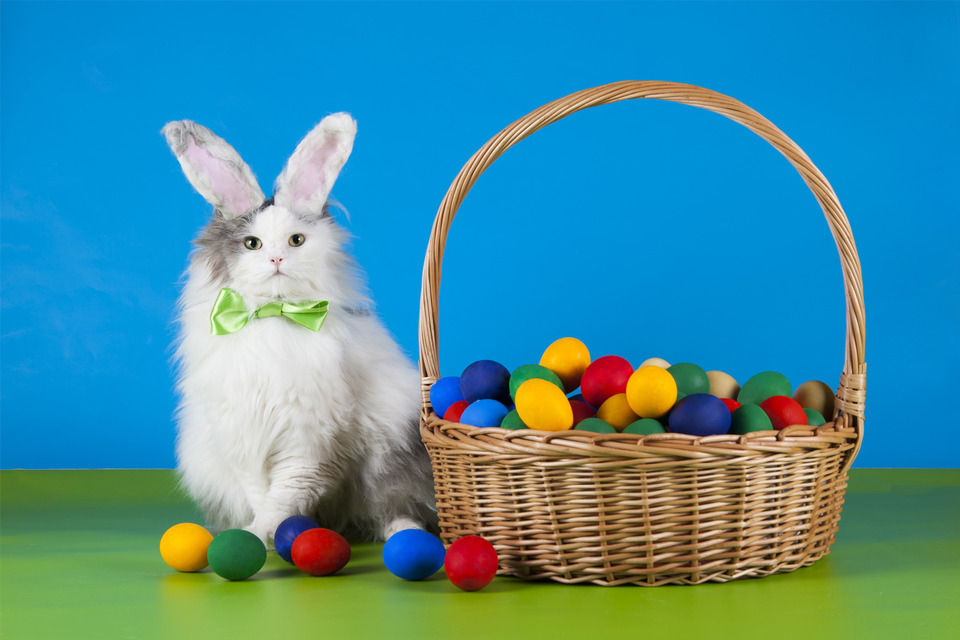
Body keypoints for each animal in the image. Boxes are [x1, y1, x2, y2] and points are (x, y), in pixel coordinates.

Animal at [164, 112, 436, 544]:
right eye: (252, 244)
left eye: (296, 240)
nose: (276, 259)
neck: (274, 315)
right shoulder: (244, 439)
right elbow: (263, 496)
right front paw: (257, 536)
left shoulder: (308, 441)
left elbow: (286, 494)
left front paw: (263, 533)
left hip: (388, 456)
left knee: (395, 506)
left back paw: (403, 535)